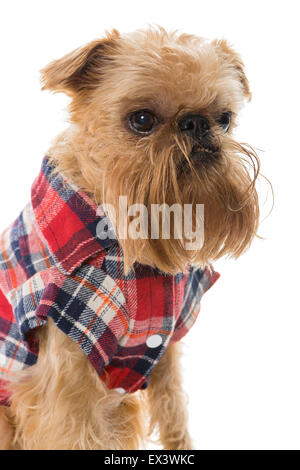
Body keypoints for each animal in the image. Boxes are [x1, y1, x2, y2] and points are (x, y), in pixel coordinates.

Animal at [0, 26, 260, 452]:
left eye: (224, 119)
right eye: (141, 120)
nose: (196, 123)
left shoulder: (164, 350)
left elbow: (174, 412)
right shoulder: (67, 378)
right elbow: (74, 433)